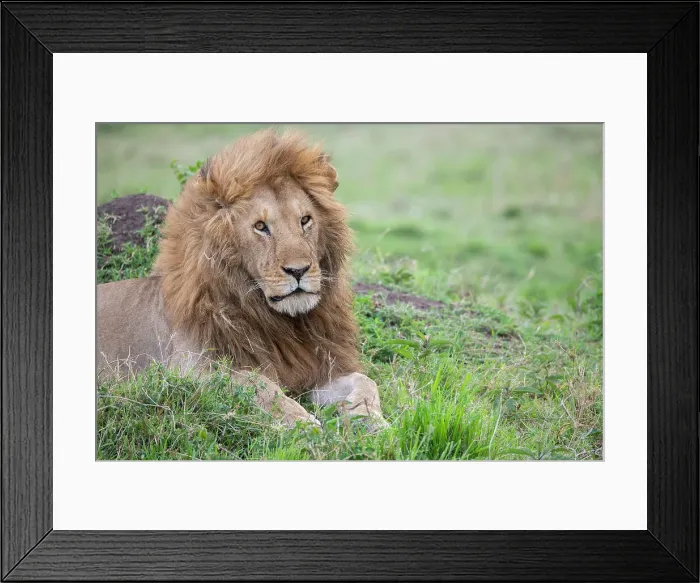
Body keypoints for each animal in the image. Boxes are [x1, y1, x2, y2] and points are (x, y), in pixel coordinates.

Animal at [97, 129, 386, 429]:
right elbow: (260, 385)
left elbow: (366, 382)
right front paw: (305, 425)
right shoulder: (188, 372)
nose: (299, 270)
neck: (280, 323)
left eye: (305, 220)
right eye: (260, 226)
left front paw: (370, 421)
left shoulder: (318, 367)